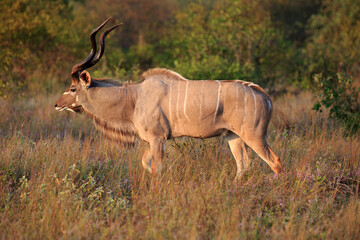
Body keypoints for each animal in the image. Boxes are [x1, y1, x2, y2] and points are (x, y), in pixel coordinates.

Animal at [55, 18, 282, 180]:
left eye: (72, 88)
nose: (57, 104)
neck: (134, 98)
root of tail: (265, 97)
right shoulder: (152, 141)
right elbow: (146, 164)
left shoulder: (158, 138)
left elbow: (156, 169)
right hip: (233, 136)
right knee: (243, 165)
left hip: (254, 136)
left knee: (275, 162)